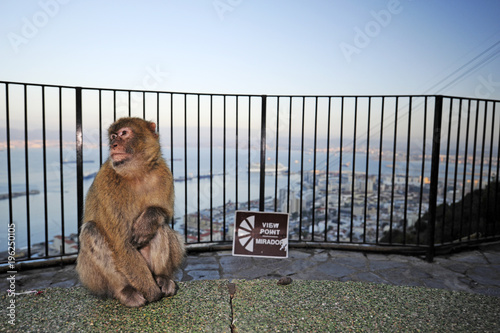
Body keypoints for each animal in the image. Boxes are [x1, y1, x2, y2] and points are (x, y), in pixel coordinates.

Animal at [77, 116, 187, 306]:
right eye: (113, 136)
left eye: (124, 133)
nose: (113, 144)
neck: (137, 173)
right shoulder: (107, 182)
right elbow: (121, 243)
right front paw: (152, 293)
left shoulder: (164, 173)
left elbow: (163, 213)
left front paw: (149, 219)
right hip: (91, 277)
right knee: (91, 230)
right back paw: (124, 290)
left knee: (160, 228)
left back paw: (162, 278)